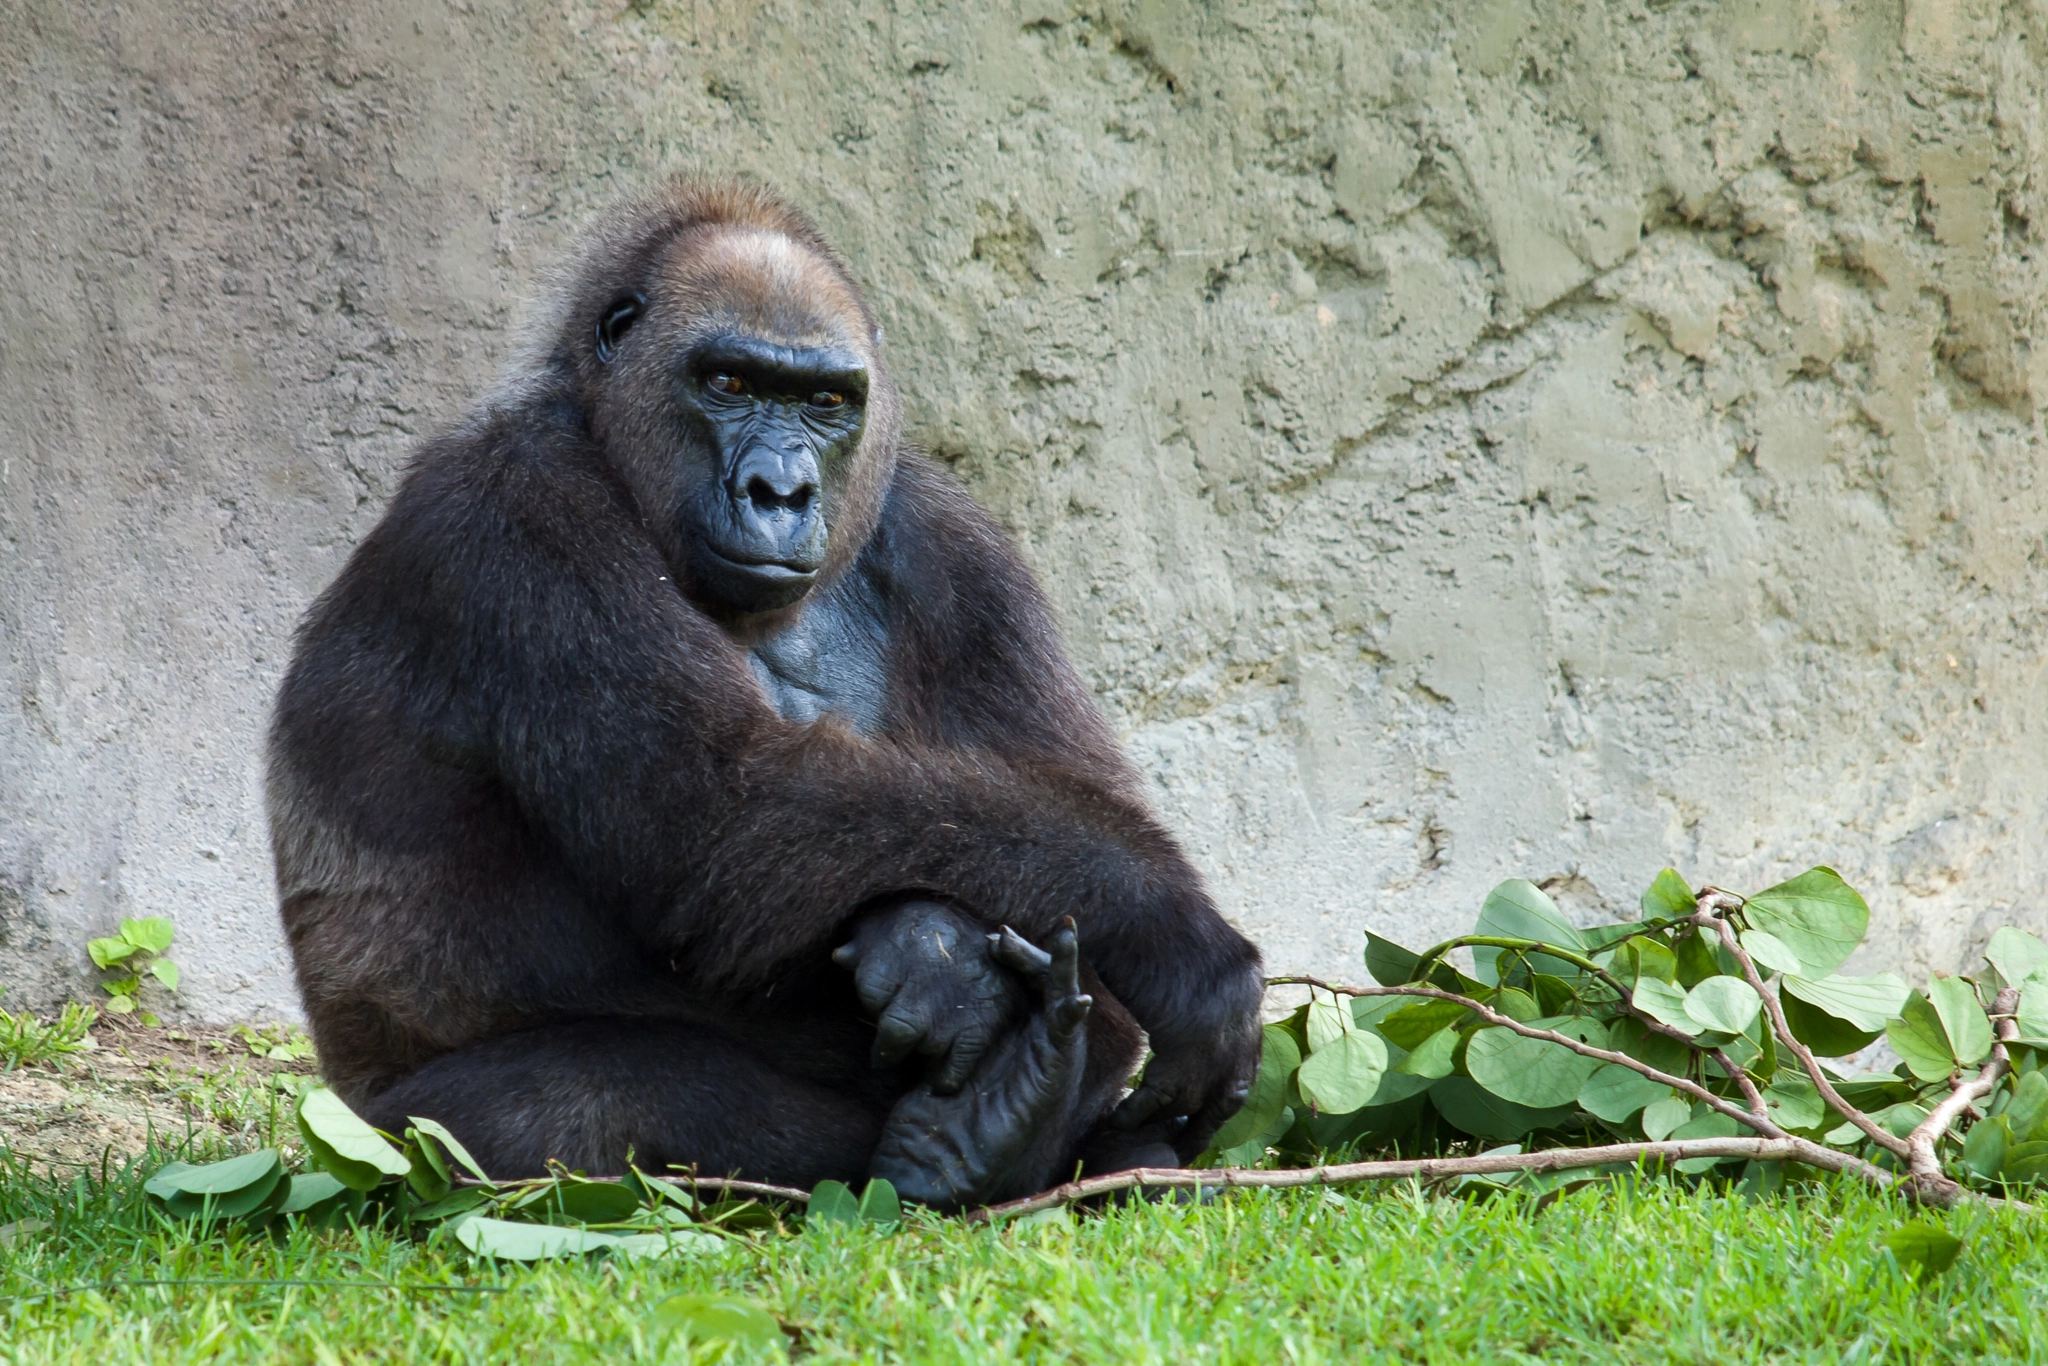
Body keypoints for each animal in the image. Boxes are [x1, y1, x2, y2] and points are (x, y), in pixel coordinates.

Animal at [267, 177, 1263, 1207]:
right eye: (730, 384)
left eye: (825, 402)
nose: (778, 491)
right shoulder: (513, 508)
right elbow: (720, 817)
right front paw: (1166, 929)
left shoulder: (958, 545)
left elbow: (1076, 794)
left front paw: (940, 954)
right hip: (374, 1135)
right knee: (553, 1115)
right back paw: (987, 1127)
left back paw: (1003, 1121)